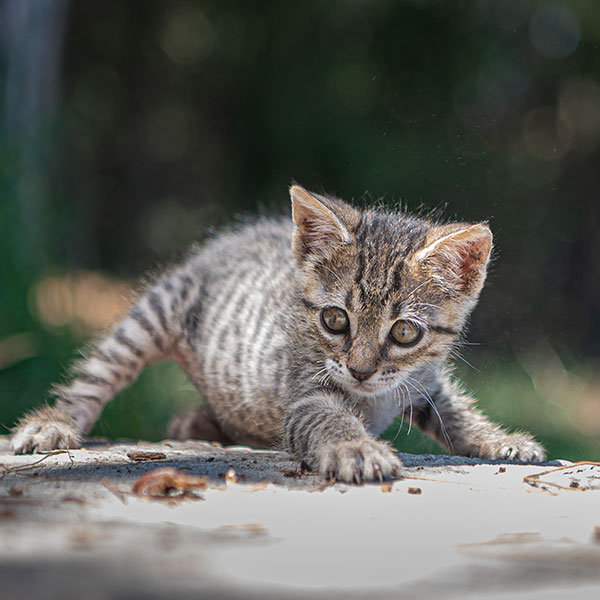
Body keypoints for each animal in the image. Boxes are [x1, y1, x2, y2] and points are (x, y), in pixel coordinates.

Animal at [9, 185, 548, 480]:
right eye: (336, 320)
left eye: (403, 333)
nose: (360, 370)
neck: (374, 397)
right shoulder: (305, 392)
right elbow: (328, 418)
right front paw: (357, 448)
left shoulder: (424, 381)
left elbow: (456, 412)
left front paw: (499, 439)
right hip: (155, 312)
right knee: (97, 376)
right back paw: (53, 423)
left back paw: (197, 424)